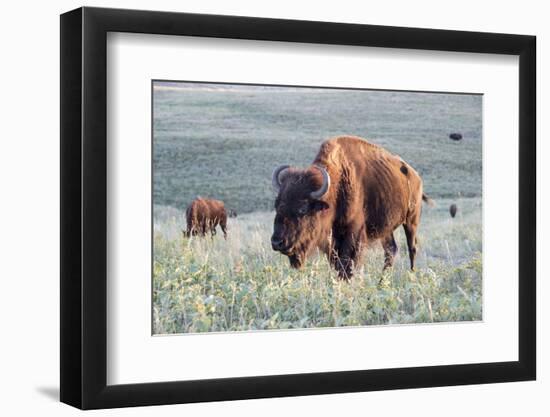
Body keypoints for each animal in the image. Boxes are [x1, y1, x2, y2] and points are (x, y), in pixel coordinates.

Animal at [272, 135, 436, 280]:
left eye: (303, 209)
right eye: (277, 205)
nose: (277, 242)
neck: (337, 186)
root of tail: (416, 177)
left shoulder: (353, 233)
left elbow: (347, 263)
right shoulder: (333, 240)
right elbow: (337, 263)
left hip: (411, 220)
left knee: (412, 248)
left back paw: (411, 275)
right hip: (386, 229)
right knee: (391, 250)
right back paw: (381, 281)